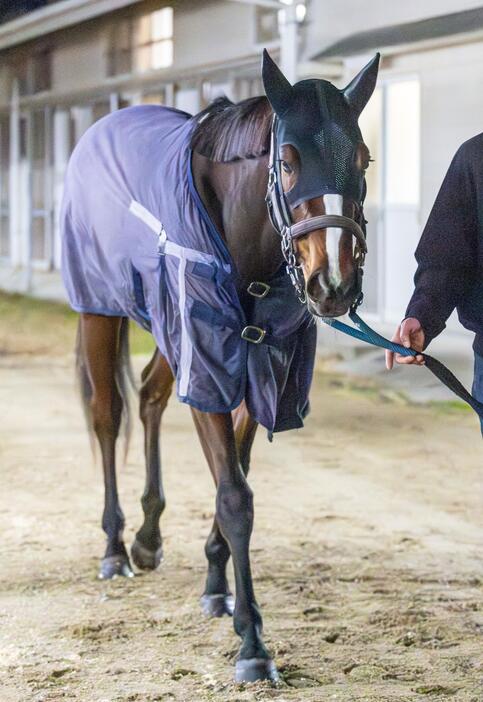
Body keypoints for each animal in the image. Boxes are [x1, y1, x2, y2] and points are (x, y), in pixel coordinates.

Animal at [60, 51, 380, 688]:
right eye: (287, 160)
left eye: (363, 159)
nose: (333, 285)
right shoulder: (207, 361)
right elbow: (235, 495)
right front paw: (253, 642)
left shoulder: (264, 366)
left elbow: (238, 467)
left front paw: (216, 586)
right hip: (99, 310)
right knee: (107, 414)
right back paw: (114, 548)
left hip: (167, 325)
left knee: (151, 395)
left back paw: (148, 538)